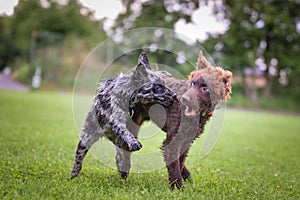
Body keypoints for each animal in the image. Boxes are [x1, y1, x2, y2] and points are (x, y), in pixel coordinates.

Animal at [125, 51, 231, 189]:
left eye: (205, 88)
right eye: (192, 83)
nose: (184, 99)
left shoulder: (186, 140)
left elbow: (180, 162)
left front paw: (184, 178)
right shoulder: (173, 142)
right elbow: (175, 166)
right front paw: (178, 187)